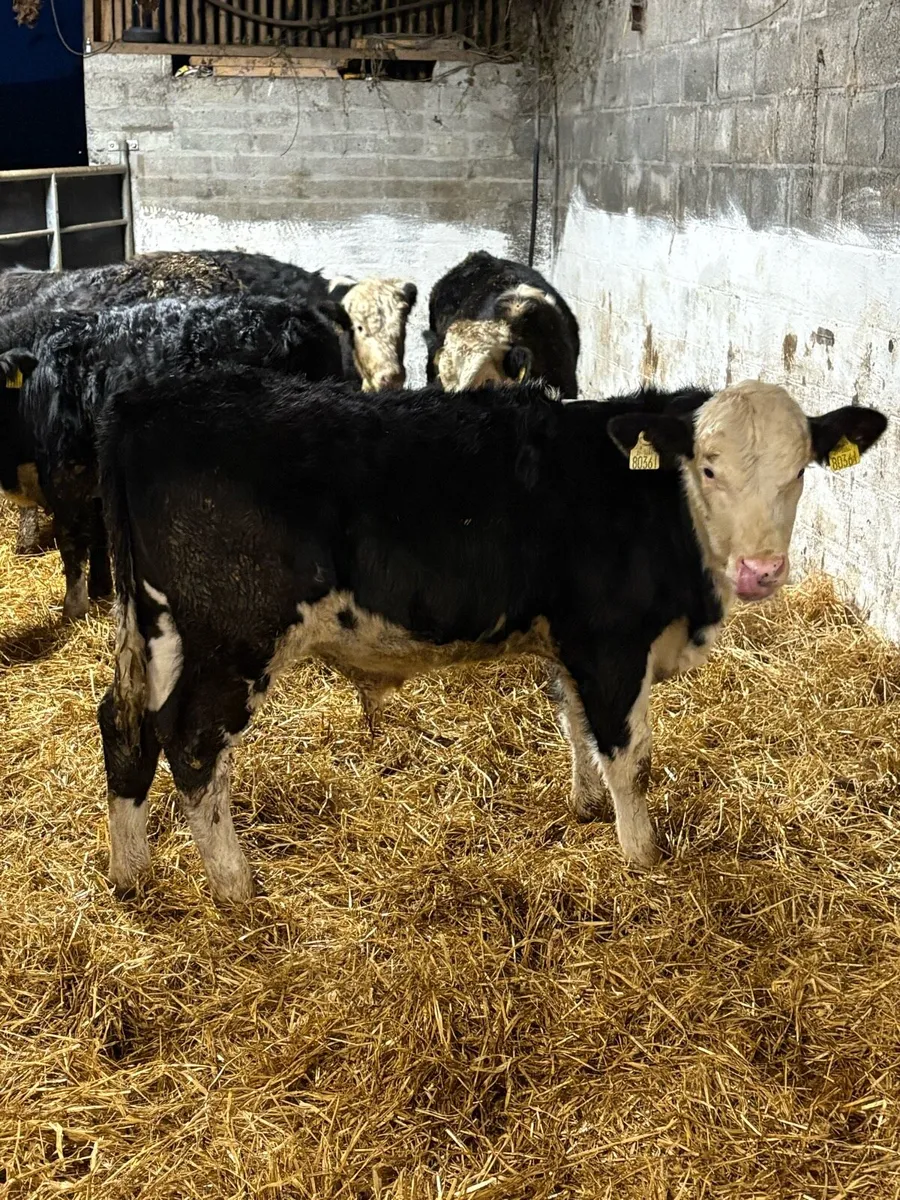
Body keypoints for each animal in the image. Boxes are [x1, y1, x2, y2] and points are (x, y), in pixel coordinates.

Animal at [0, 294, 356, 619]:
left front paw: (72, 609)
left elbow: (72, 542)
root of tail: (299, 309)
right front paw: (100, 590)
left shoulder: (64, 473)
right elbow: (100, 535)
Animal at [93, 370, 886, 904]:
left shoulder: (573, 644)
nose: (761, 570)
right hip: (235, 635)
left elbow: (575, 724)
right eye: (710, 468)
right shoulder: (611, 642)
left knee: (125, 724)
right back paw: (235, 884)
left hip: (156, 625)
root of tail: (149, 403)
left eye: (799, 471)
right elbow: (629, 758)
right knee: (191, 743)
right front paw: (643, 857)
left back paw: (132, 872)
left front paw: (585, 808)